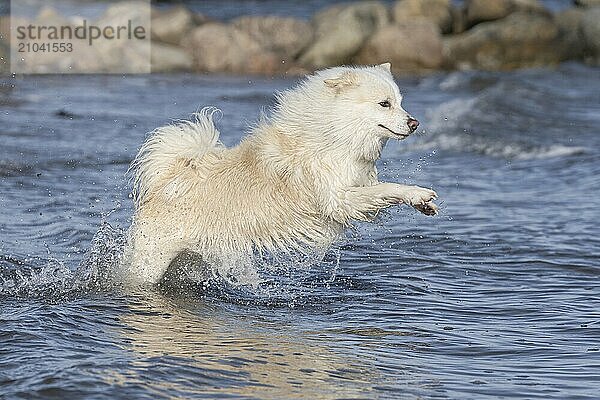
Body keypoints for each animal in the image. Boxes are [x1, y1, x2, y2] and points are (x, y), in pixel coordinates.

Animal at [124, 64, 438, 282]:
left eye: (400, 102)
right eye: (384, 104)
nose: (415, 123)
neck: (332, 135)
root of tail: (164, 181)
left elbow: (381, 190)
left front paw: (422, 205)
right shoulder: (340, 199)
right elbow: (388, 188)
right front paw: (418, 194)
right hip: (153, 258)